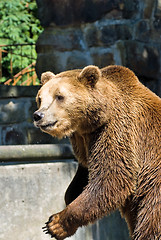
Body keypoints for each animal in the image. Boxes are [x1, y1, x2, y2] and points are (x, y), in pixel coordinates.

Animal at [33, 65, 160, 240]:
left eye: (59, 96)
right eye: (40, 98)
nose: (38, 115)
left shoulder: (117, 130)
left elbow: (112, 178)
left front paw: (56, 224)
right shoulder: (85, 141)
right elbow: (85, 172)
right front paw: (70, 197)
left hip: (154, 186)